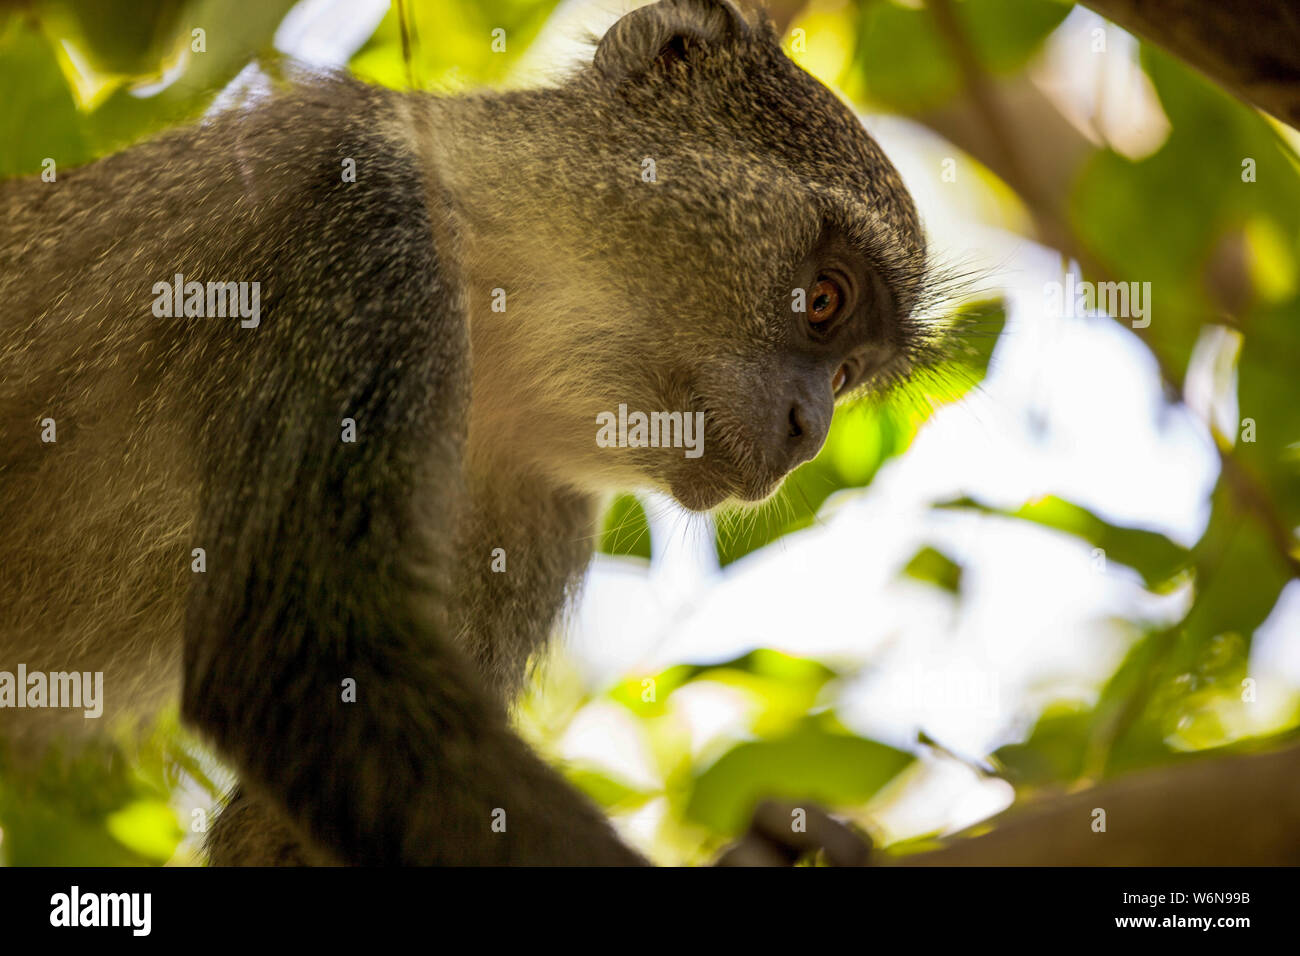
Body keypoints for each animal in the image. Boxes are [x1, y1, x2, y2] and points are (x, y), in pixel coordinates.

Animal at [0, 0, 935, 868]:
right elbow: (299, 655)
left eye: (846, 376)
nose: (808, 432)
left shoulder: (540, 507)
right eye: (824, 300)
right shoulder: (360, 234)